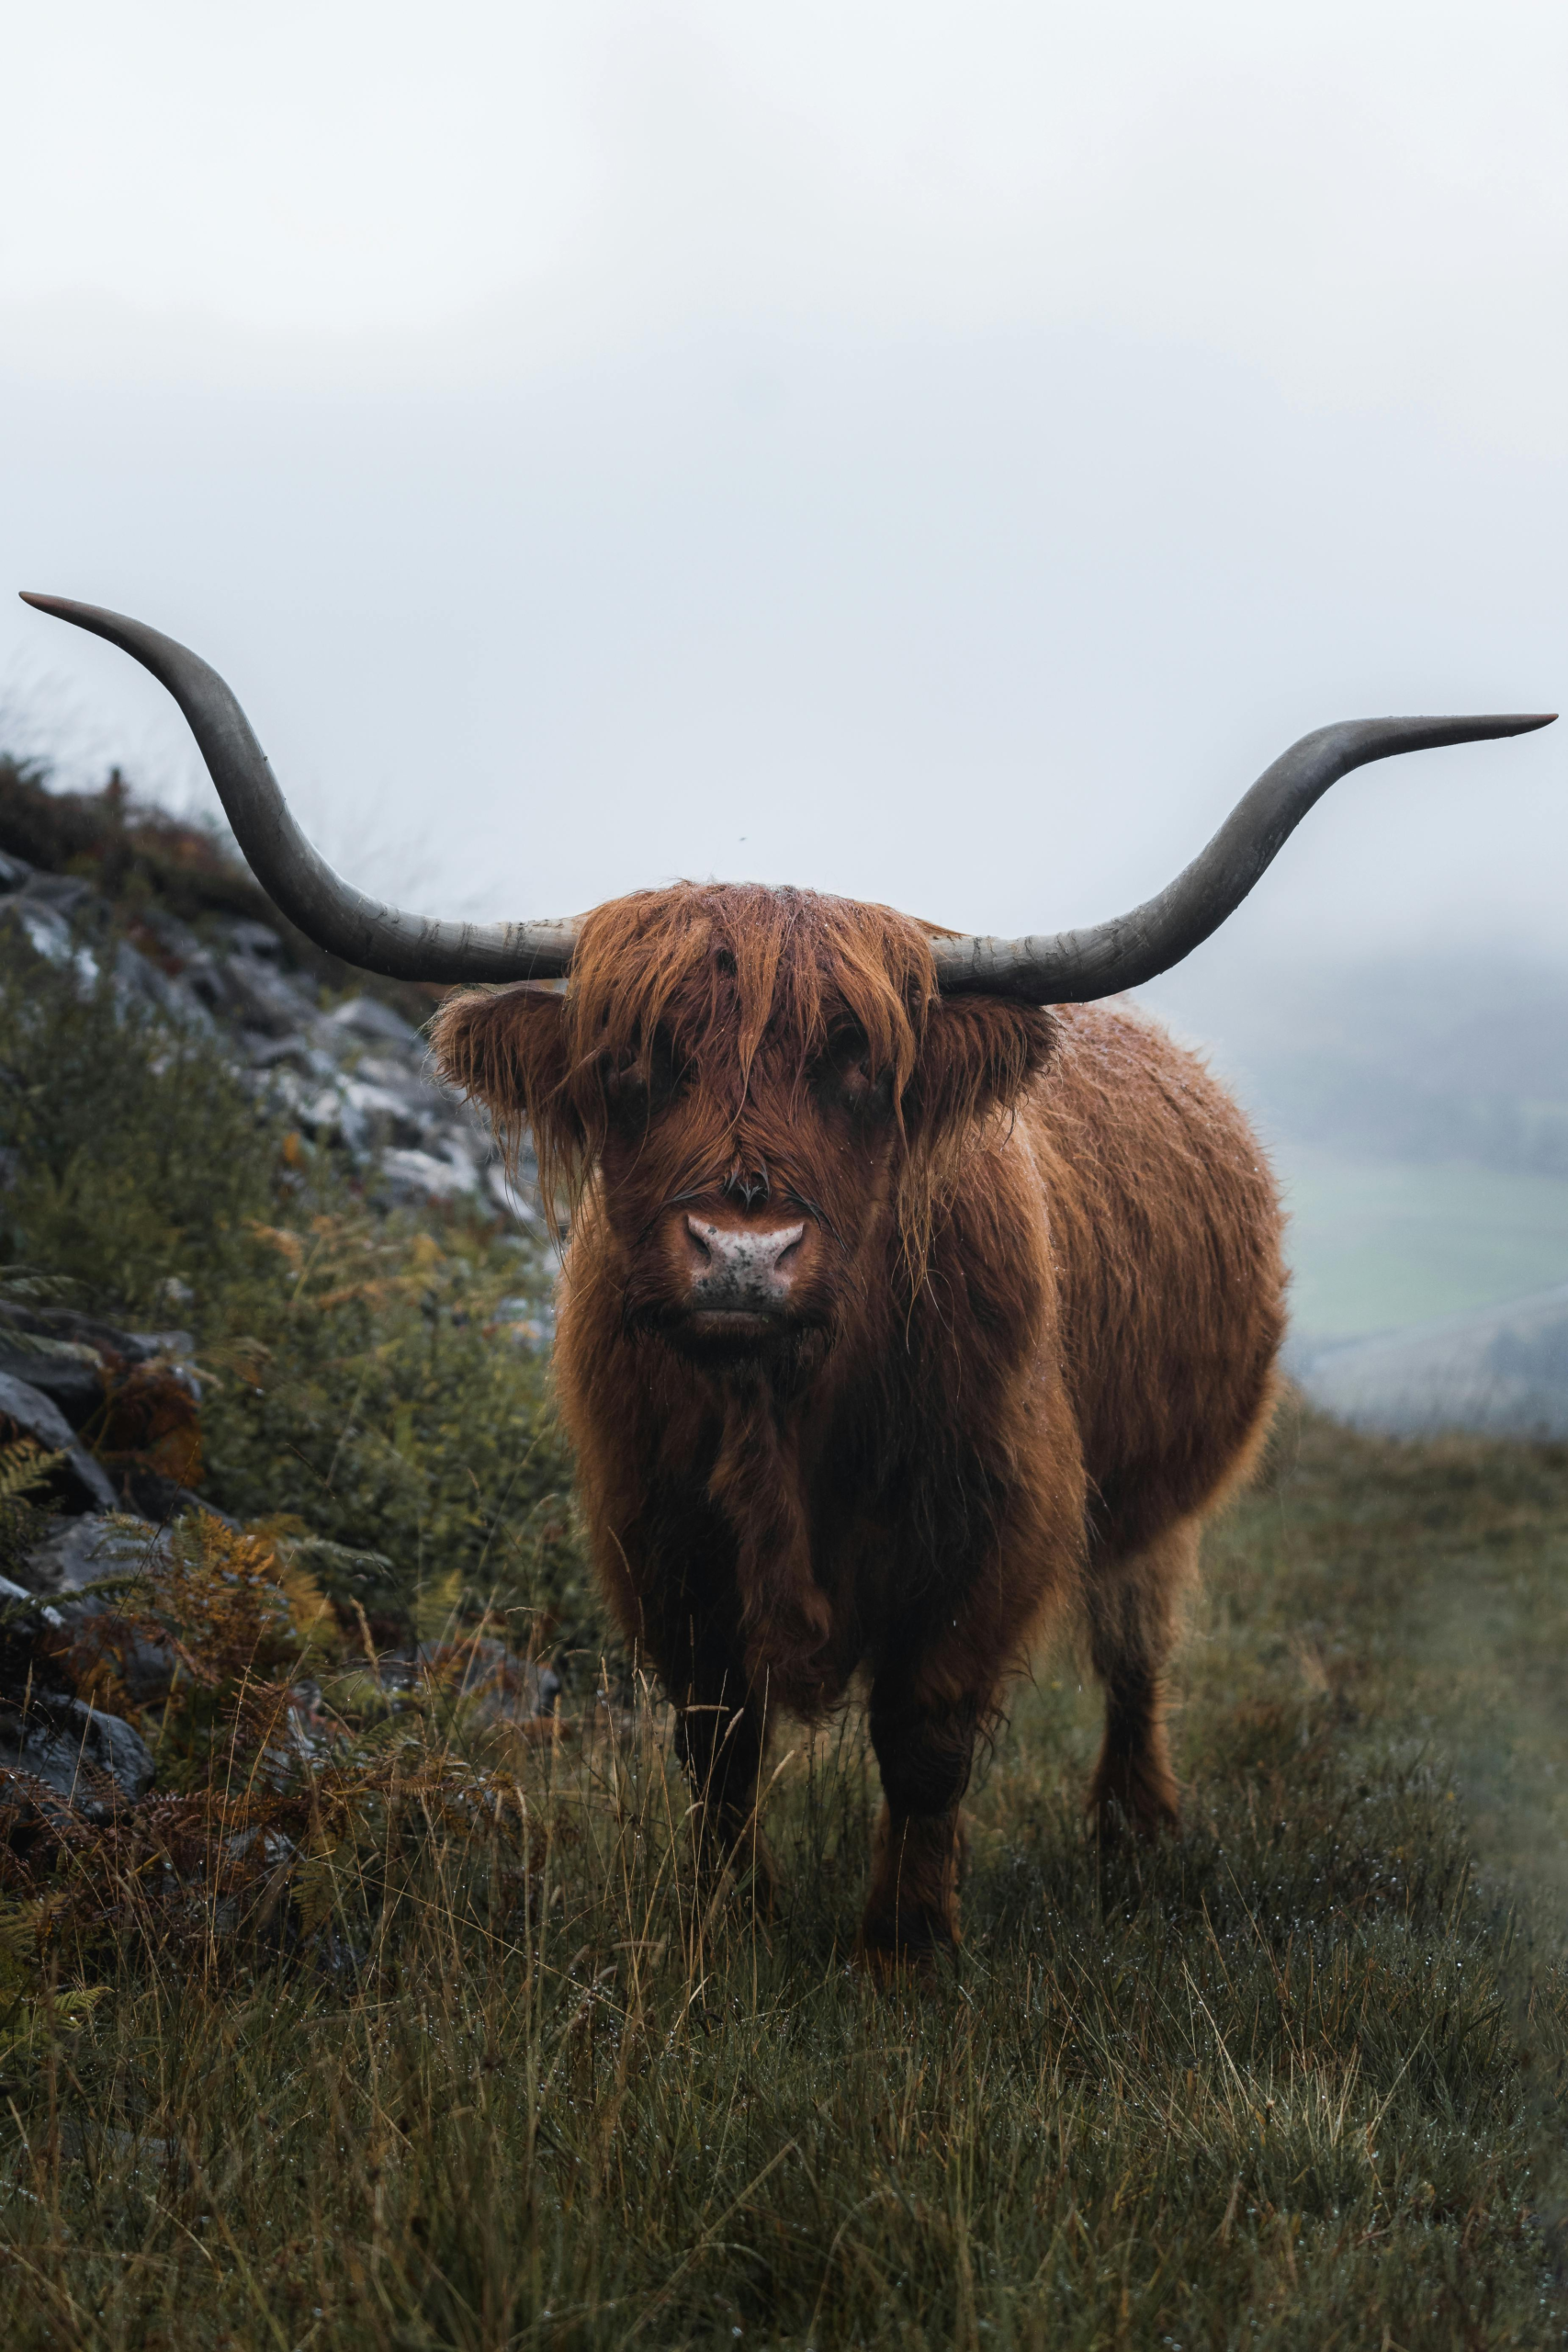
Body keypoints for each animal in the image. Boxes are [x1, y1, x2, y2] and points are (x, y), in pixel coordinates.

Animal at [20, 590, 1553, 1970]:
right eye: (633, 1066)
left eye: (857, 1069)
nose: (742, 1256)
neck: (782, 1410)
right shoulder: (659, 1533)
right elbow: (719, 1742)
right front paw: (732, 1924)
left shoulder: (990, 1520)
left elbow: (925, 1738)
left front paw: (903, 1946)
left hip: (1160, 1499)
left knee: (1134, 1648)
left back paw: (1131, 1827)